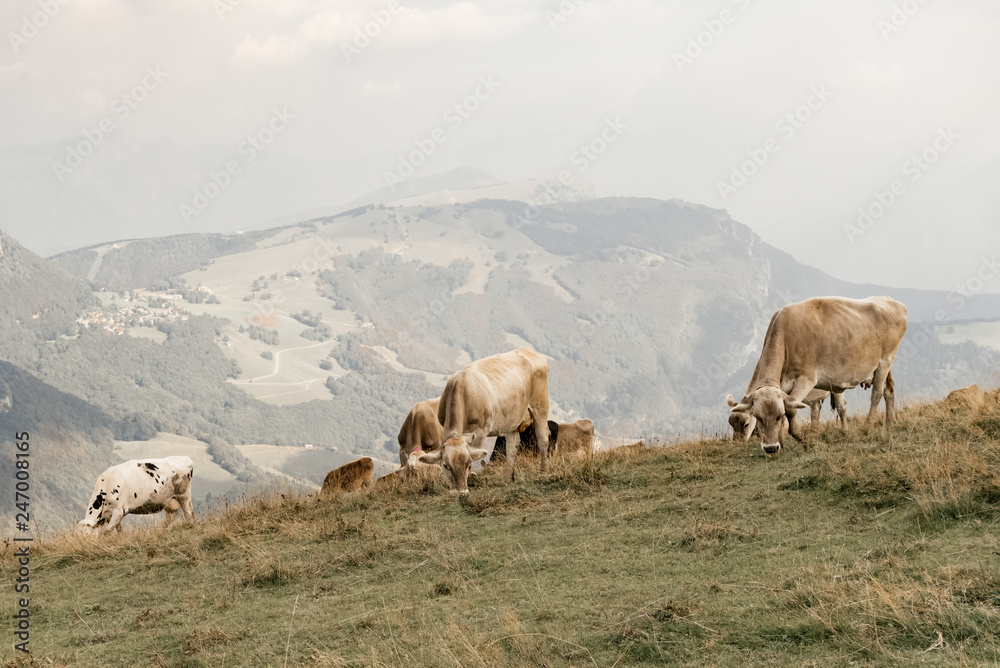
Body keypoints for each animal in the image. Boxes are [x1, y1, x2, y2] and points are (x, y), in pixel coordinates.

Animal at [419, 348, 550, 494]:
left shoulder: (481, 431)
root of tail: (525, 350)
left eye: (468, 464)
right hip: (512, 418)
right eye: (446, 466)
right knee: (512, 446)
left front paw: (472, 478)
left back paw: (544, 473)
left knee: (543, 439)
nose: (460, 492)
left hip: (540, 405)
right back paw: (507, 479)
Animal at [727, 296, 907, 454]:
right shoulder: (784, 387)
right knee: (888, 391)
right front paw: (782, 443)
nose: (770, 448)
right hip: (880, 367)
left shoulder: (805, 380)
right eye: (758, 417)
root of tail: (890, 300)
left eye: (746, 424)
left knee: (876, 393)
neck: (786, 338)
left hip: (885, 360)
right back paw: (890, 422)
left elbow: (790, 410)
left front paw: (804, 439)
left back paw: (867, 426)